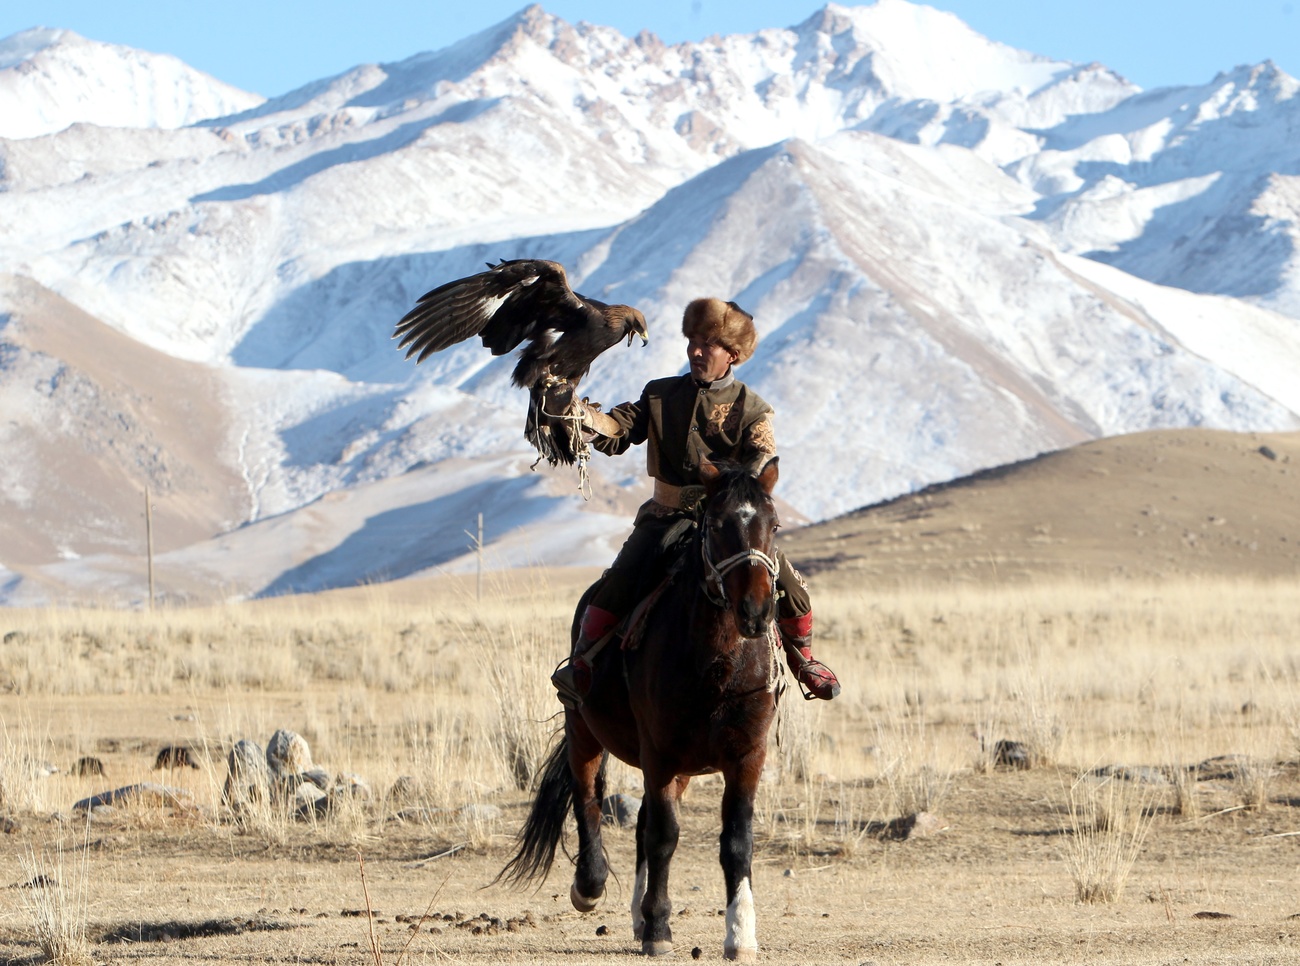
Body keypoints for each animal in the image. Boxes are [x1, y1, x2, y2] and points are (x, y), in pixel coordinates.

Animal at [499, 457, 782, 961]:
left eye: (774, 525)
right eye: (718, 524)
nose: (755, 611)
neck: (716, 664)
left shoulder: (746, 756)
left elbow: (736, 842)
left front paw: (740, 934)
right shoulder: (660, 753)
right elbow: (664, 837)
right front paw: (659, 929)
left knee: (641, 824)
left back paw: (640, 912)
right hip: (585, 732)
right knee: (589, 800)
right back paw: (591, 887)